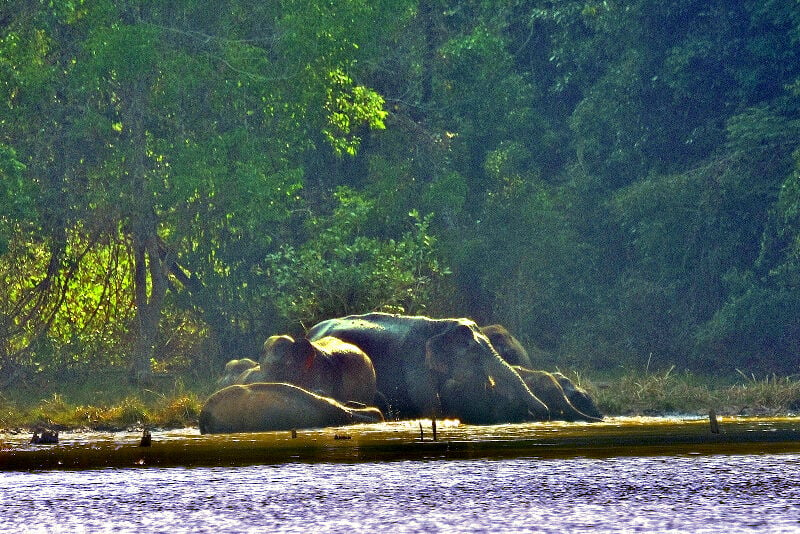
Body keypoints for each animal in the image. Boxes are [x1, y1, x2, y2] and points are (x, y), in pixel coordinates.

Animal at [306, 312, 552, 426]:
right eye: (474, 353)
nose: (546, 412)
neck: (439, 324)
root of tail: (310, 332)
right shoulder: (414, 363)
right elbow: (429, 404)